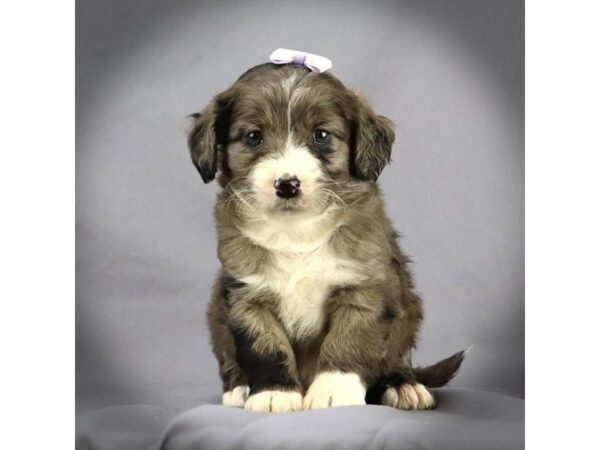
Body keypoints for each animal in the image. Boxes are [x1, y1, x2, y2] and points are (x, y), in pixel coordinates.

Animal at [188, 61, 464, 414]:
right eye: (253, 136)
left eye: (321, 135)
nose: (287, 184)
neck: (296, 232)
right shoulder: (246, 295)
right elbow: (265, 346)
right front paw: (274, 393)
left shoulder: (365, 287)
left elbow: (348, 340)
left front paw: (334, 391)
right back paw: (239, 388)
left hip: (409, 309)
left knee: (394, 358)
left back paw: (403, 385)